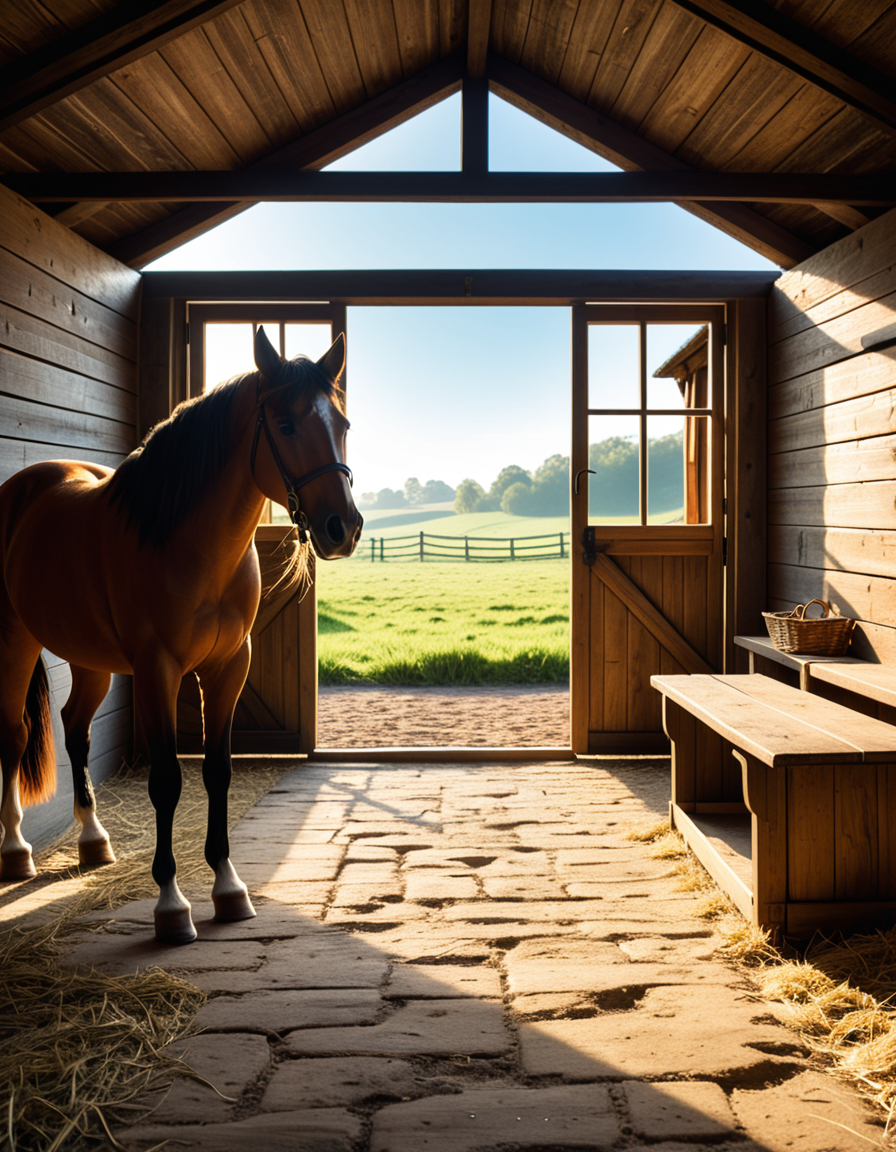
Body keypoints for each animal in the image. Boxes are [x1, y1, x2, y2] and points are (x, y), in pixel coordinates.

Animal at [0, 326, 362, 943]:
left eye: (341, 424)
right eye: (286, 424)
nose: (344, 527)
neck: (189, 544)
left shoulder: (228, 668)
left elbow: (217, 771)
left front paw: (229, 889)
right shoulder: (157, 670)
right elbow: (167, 779)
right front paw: (171, 905)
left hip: (92, 660)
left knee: (76, 729)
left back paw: (94, 841)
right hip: (15, 640)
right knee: (13, 734)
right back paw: (16, 849)